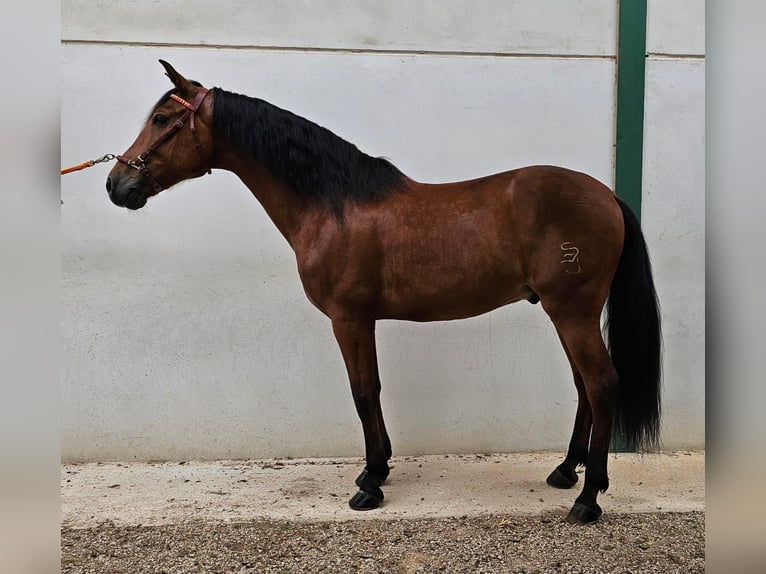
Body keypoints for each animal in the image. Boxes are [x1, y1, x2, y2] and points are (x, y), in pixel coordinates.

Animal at [105, 60, 661, 524]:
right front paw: (378, 470)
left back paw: (587, 499)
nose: (116, 185)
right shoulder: (361, 319)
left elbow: (363, 391)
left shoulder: (349, 318)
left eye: (161, 119)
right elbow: (368, 390)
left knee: (602, 383)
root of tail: (608, 196)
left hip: (573, 313)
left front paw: (370, 484)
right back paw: (565, 472)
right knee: (584, 386)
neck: (332, 204)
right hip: (564, 313)